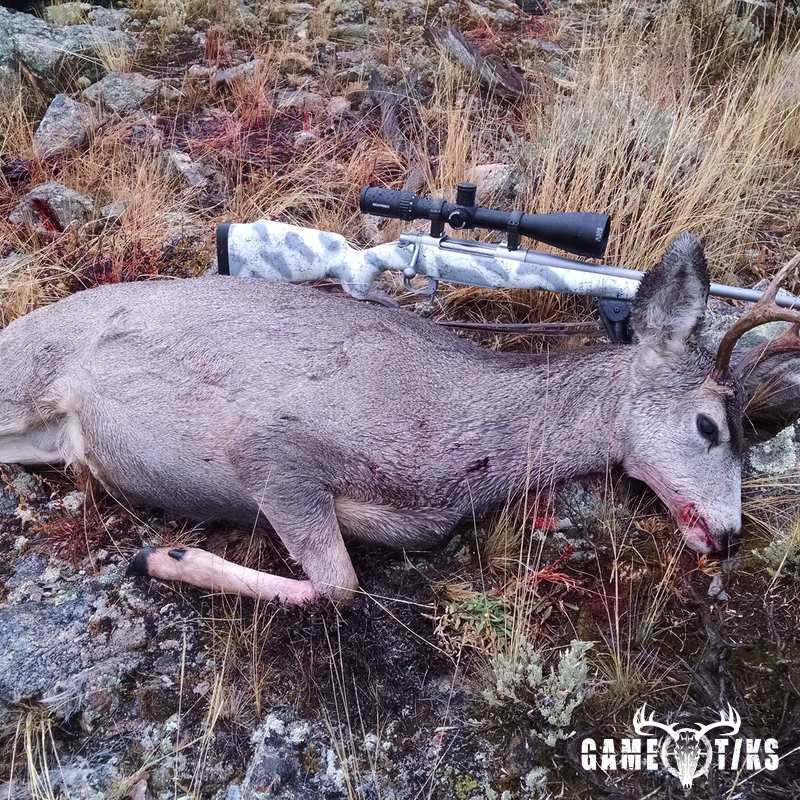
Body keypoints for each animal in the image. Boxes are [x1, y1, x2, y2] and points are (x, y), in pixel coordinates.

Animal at [0, 232, 798, 605]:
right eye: (709, 427)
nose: (728, 535)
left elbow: (340, 581)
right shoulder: (272, 448)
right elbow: (340, 586)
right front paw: (163, 556)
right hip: (24, 378)